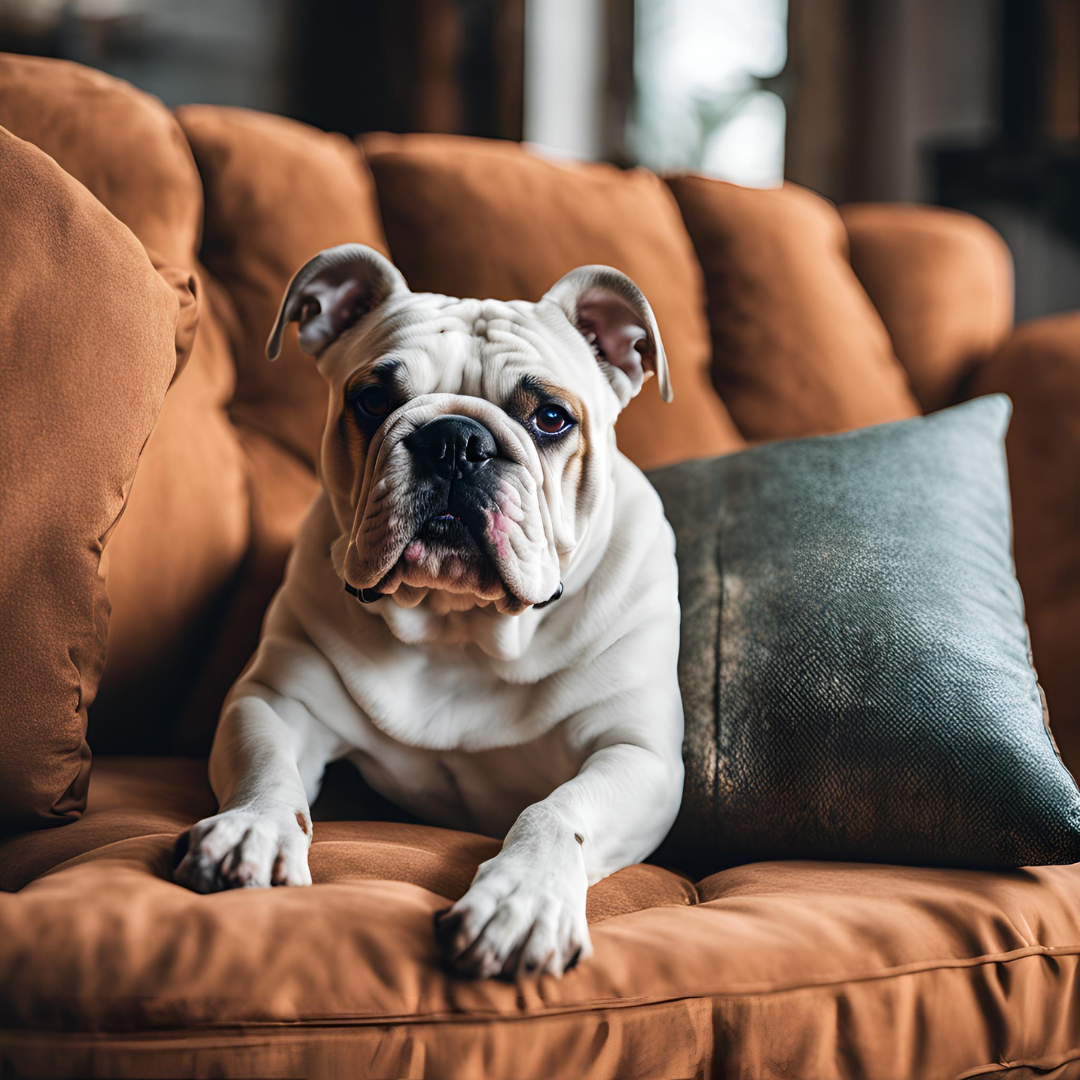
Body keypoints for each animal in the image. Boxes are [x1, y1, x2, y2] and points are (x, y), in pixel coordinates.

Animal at [174, 245, 682, 980]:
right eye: (372, 400)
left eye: (551, 419)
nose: (455, 440)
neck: (460, 627)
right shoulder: (274, 702)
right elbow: (266, 771)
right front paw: (252, 832)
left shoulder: (636, 755)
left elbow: (558, 810)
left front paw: (522, 898)